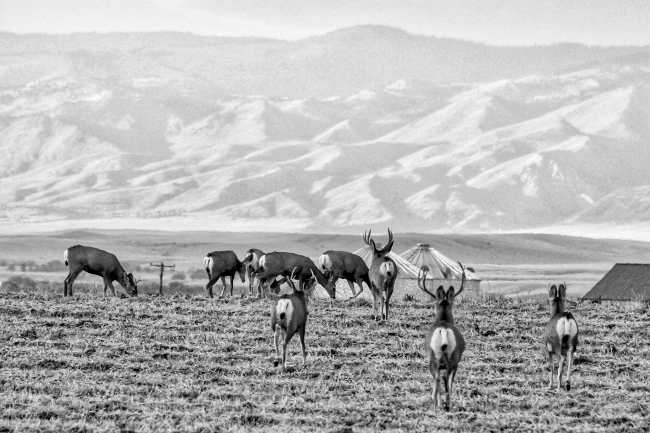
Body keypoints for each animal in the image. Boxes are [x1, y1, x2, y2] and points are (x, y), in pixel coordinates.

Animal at [417, 263, 466, 411]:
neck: (443, 321)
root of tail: (443, 329)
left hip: (435, 356)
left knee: (439, 378)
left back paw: (439, 403)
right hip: (452, 357)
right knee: (444, 378)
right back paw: (445, 403)